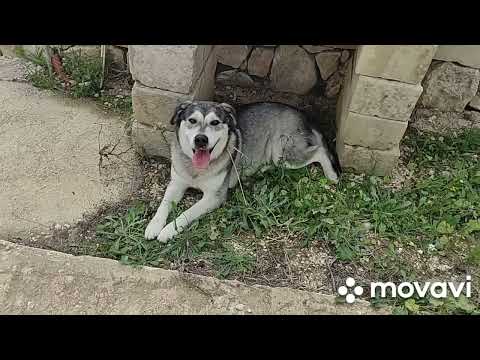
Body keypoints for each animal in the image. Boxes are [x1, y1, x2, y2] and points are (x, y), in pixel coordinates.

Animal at [144, 100, 340, 243]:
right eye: (192, 120)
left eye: (215, 122)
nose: (201, 139)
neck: (195, 169)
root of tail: (302, 114)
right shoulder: (176, 184)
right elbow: (164, 204)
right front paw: (154, 226)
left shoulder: (214, 197)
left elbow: (187, 213)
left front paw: (168, 230)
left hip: (283, 153)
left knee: (320, 150)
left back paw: (332, 176)